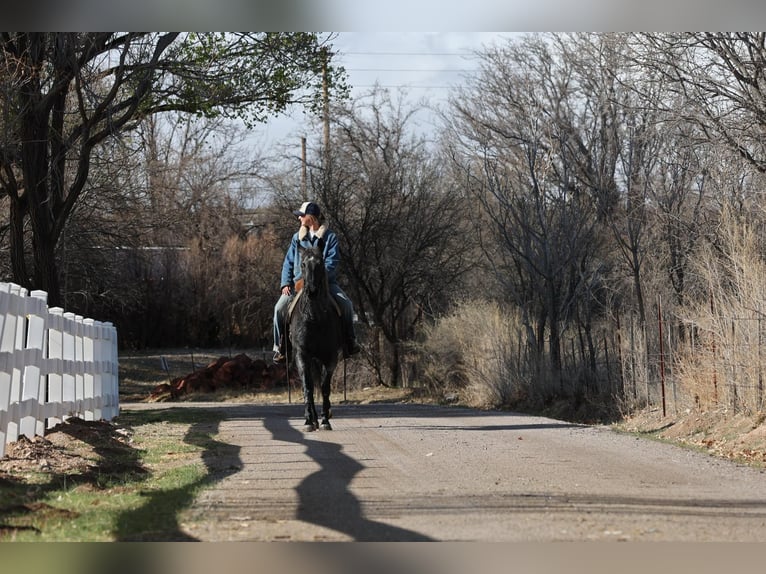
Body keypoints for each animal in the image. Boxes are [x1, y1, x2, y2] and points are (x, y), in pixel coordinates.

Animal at [289, 242, 343, 431]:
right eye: (303, 264)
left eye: (320, 263)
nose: (312, 291)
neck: (315, 317)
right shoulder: (302, 355)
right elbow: (308, 387)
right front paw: (308, 421)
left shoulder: (330, 357)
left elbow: (325, 388)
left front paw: (325, 420)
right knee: (310, 385)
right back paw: (312, 418)